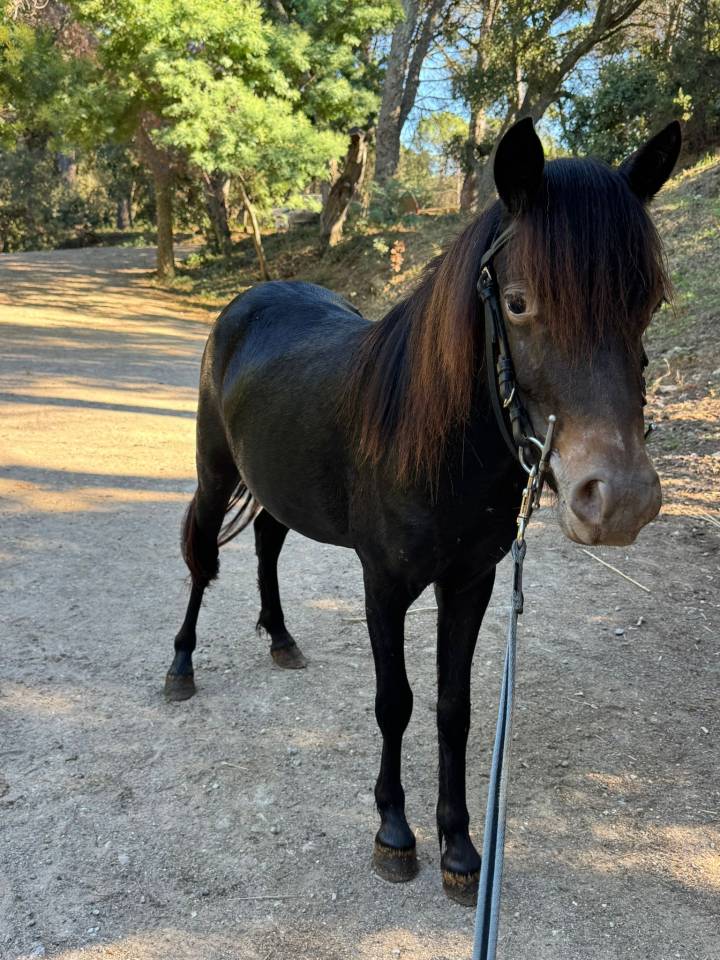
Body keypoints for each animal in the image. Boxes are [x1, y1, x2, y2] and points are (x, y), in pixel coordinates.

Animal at [165, 118, 681, 904]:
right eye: (519, 302)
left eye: (648, 303)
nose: (620, 500)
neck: (437, 446)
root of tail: (249, 302)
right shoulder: (384, 585)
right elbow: (395, 702)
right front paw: (394, 833)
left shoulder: (469, 584)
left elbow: (452, 707)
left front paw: (460, 847)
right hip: (216, 471)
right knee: (202, 560)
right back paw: (181, 666)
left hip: (276, 486)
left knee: (267, 544)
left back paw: (282, 639)